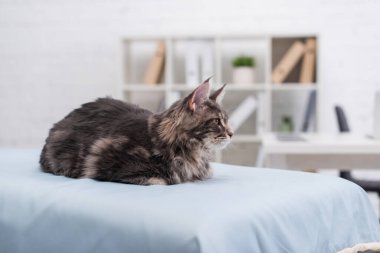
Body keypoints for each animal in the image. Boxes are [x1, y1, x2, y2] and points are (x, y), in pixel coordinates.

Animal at [40, 79, 233, 186]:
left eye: (227, 119)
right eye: (217, 121)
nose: (231, 133)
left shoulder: (206, 171)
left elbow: (207, 172)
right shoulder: (105, 154)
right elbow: (161, 179)